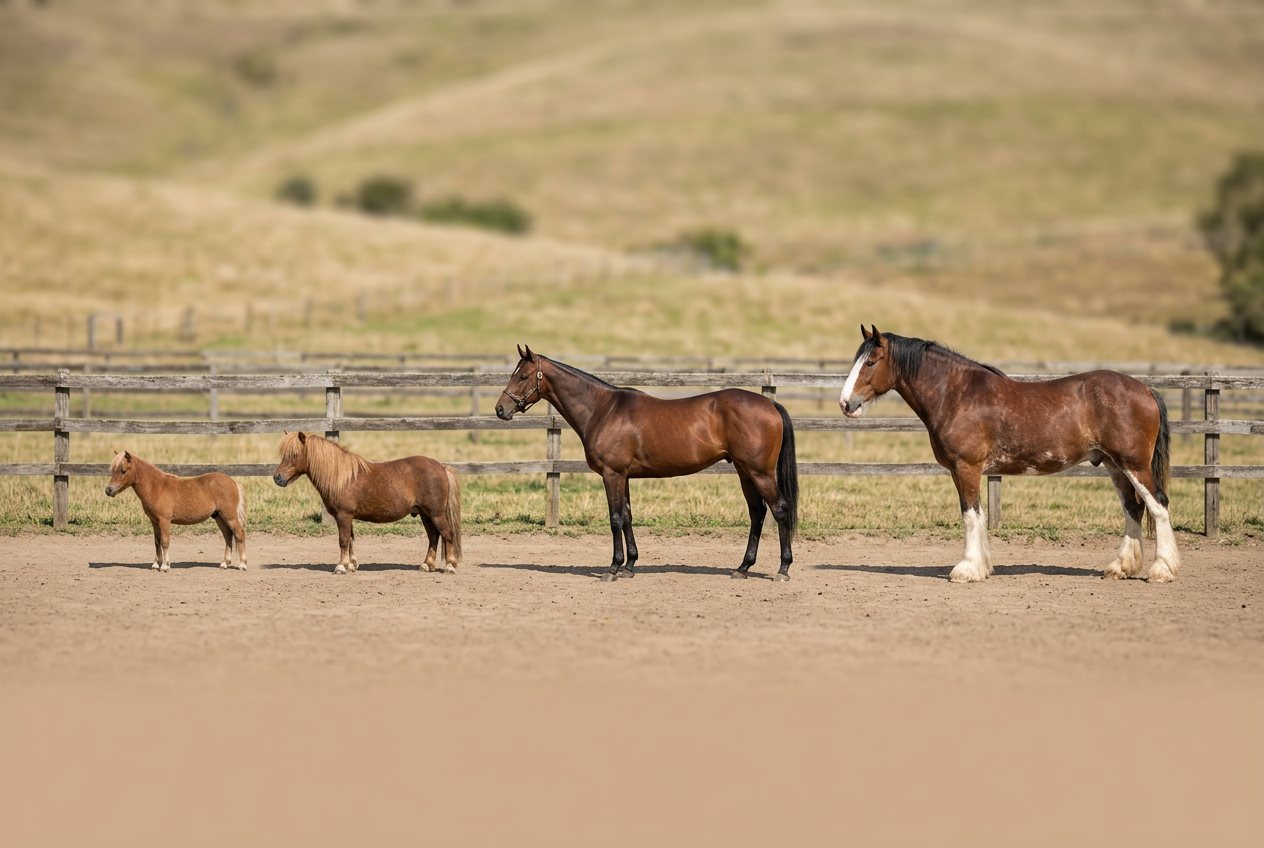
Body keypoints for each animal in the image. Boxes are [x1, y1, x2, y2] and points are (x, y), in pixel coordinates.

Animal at [104, 451, 247, 572]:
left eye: (123, 471)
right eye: (112, 470)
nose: (108, 490)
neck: (157, 488)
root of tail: (233, 481)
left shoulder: (164, 521)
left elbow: (165, 542)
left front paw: (165, 566)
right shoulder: (154, 521)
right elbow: (157, 542)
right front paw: (155, 565)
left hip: (229, 516)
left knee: (239, 533)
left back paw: (242, 564)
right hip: (219, 517)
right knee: (228, 536)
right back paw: (224, 564)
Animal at [272, 432, 462, 575]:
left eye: (294, 455)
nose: (277, 478)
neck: (343, 478)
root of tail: (441, 467)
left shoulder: (343, 515)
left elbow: (343, 540)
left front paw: (341, 567)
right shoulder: (347, 517)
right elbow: (350, 539)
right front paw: (351, 564)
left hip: (436, 513)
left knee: (447, 534)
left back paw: (449, 566)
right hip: (425, 514)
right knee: (433, 536)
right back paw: (427, 565)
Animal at [495, 345, 798, 581]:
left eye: (522, 376)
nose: (500, 409)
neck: (603, 410)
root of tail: (770, 405)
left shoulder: (612, 475)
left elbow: (615, 518)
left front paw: (613, 568)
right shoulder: (624, 476)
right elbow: (627, 516)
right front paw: (629, 565)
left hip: (760, 473)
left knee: (780, 510)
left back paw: (783, 569)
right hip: (744, 472)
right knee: (757, 513)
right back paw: (743, 568)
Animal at [839, 325, 1179, 583]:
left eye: (871, 362)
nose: (845, 403)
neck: (956, 394)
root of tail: (1145, 389)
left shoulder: (966, 467)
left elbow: (970, 515)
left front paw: (966, 570)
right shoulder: (964, 471)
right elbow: (977, 515)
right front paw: (981, 567)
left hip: (1133, 464)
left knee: (1158, 505)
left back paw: (1162, 570)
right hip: (1114, 465)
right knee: (1133, 509)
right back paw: (1120, 567)